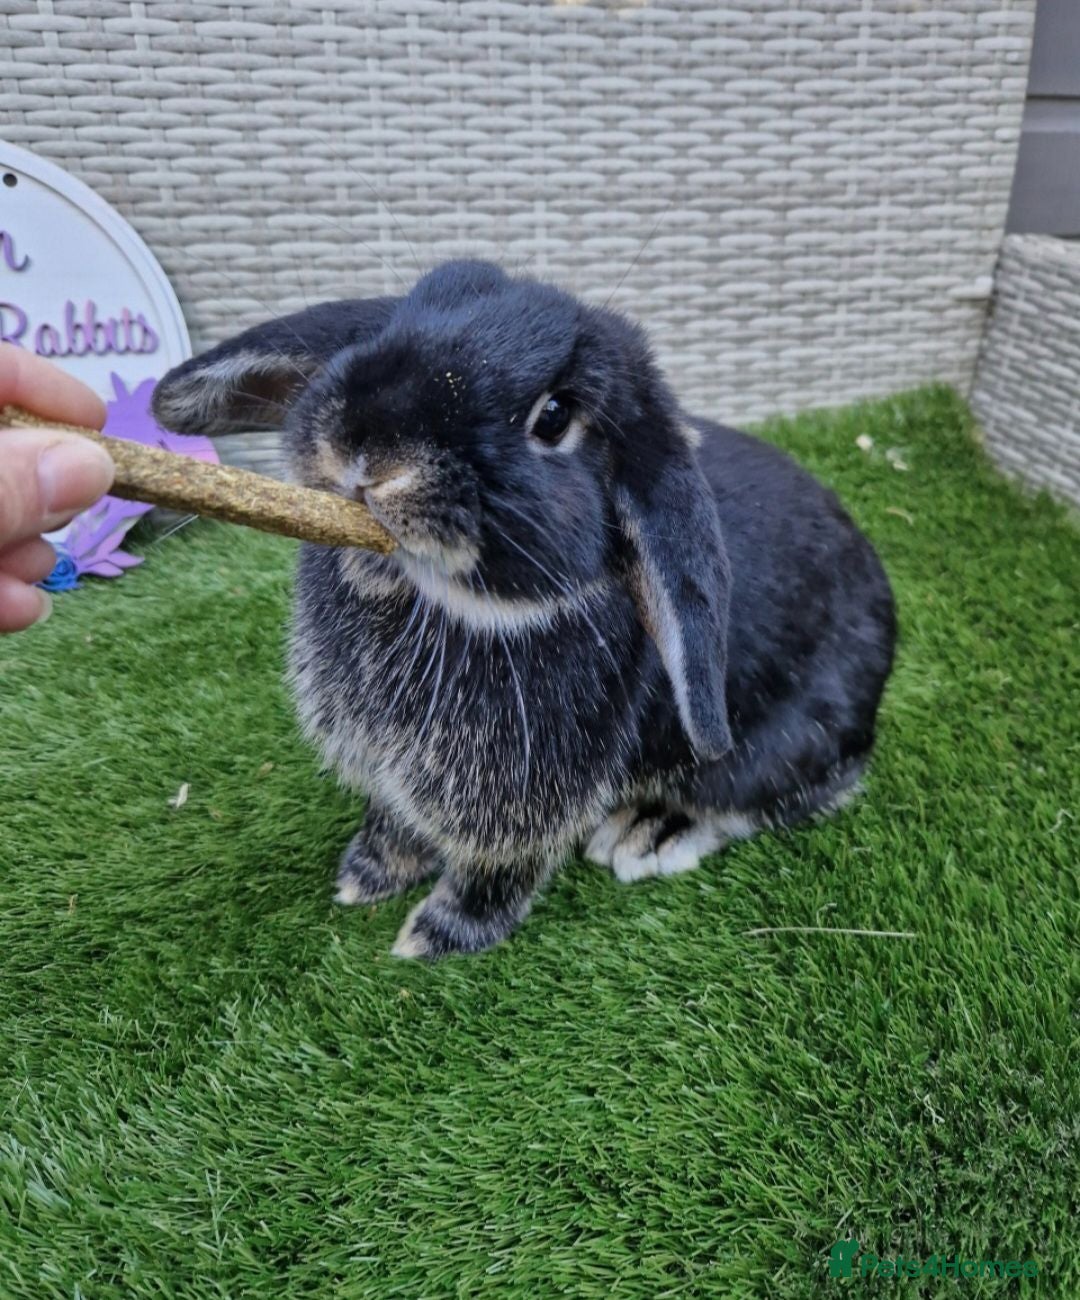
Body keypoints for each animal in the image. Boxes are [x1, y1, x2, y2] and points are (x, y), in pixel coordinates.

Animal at [152, 260, 896, 959]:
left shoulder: (522, 803)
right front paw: (365, 874)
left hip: (778, 746)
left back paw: (653, 830)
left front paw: (437, 936)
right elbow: (394, 822)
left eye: (555, 416)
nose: (367, 440)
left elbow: (499, 871)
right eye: (416, 304)